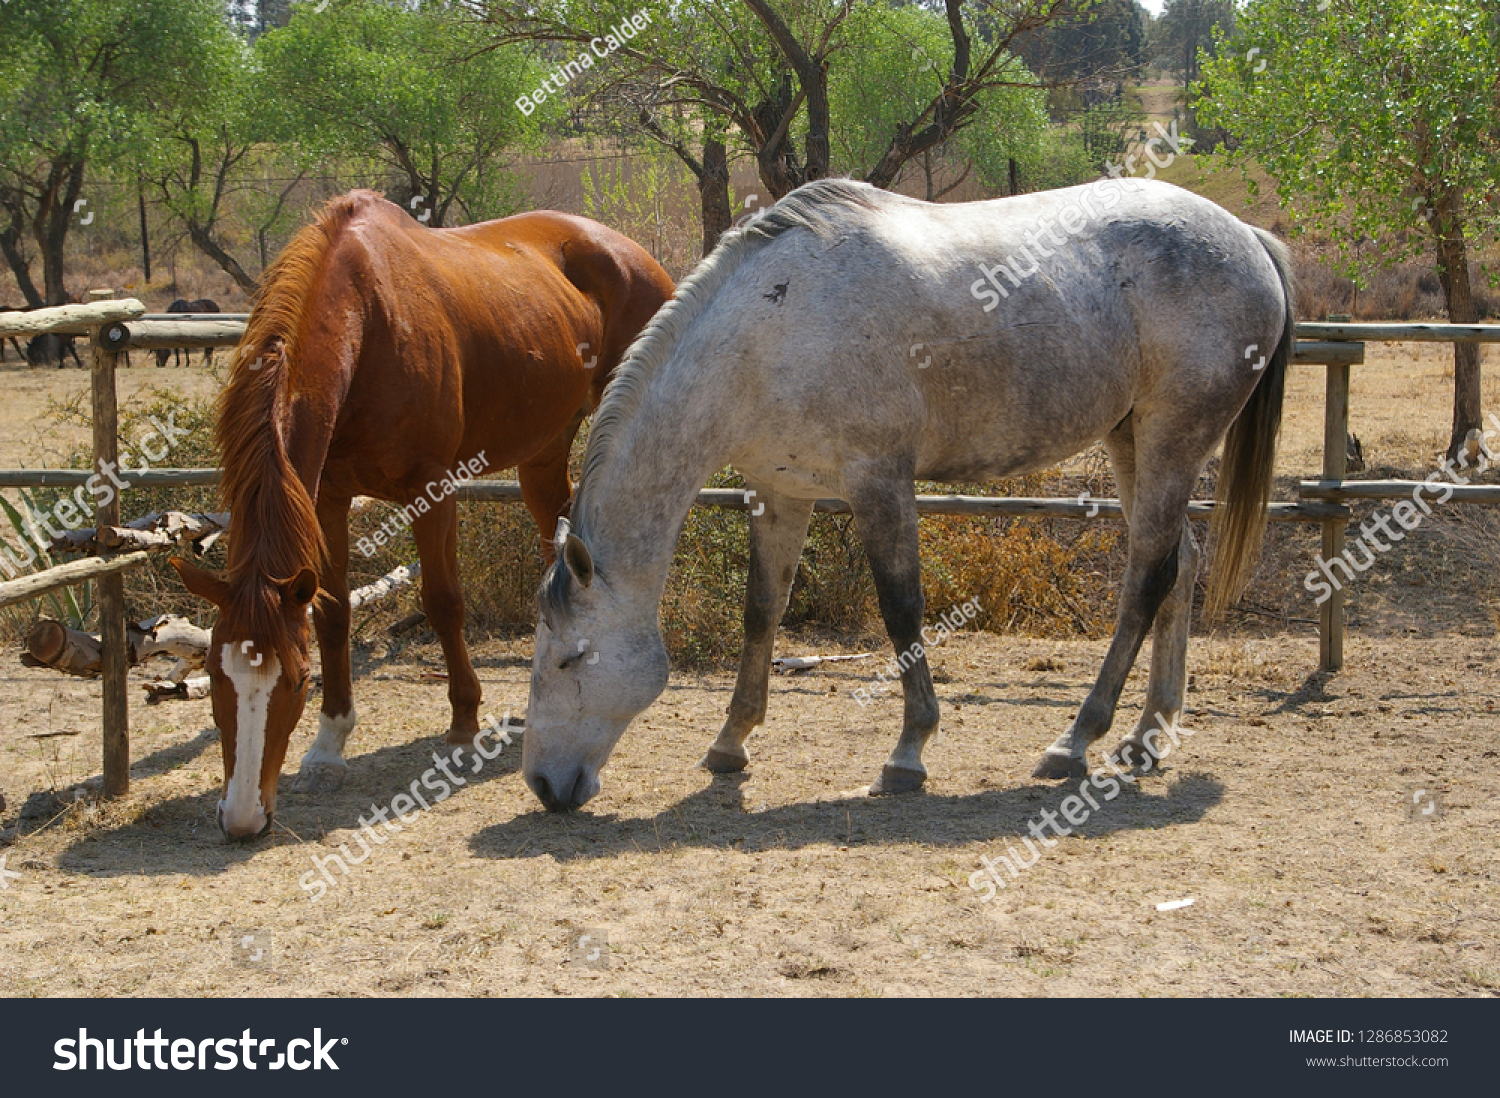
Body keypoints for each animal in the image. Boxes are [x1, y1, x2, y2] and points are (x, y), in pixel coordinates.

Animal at [170, 190, 674, 839]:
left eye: (297, 679)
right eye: (214, 674)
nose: (241, 817)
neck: (368, 321)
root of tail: (632, 253)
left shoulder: (432, 490)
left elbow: (442, 601)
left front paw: (462, 724)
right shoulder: (328, 499)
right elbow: (333, 612)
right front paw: (329, 745)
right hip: (542, 453)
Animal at [523, 176, 1293, 811]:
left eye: (569, 658)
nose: (543, 785)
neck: (772, 327)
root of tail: (1246, 237)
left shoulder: (880, 483)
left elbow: (901, 611)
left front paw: (908, 753)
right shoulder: (780, 492)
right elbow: (762, 612)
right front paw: (730, 742)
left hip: (1172, 440)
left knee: (1146, 580)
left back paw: (1077, 740)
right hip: (1133, 440)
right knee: (1179, 567)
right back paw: (1148, 736)